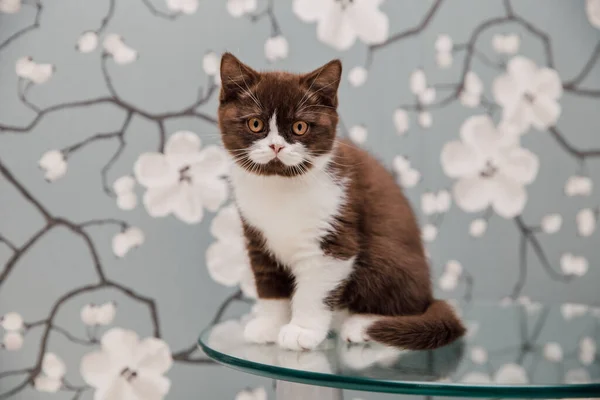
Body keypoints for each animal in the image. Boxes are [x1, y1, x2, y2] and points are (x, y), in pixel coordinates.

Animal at [218, 52, 466, 350]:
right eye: (255, 124)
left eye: (300, 127)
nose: (276, 146)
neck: (281, 187)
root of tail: (429, 294)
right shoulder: (256, 236)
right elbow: (269, 284)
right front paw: (270, 324)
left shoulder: (335, 232)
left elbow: (314, 289)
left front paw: (301, 330)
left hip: (387, 259)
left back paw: (361, 324)